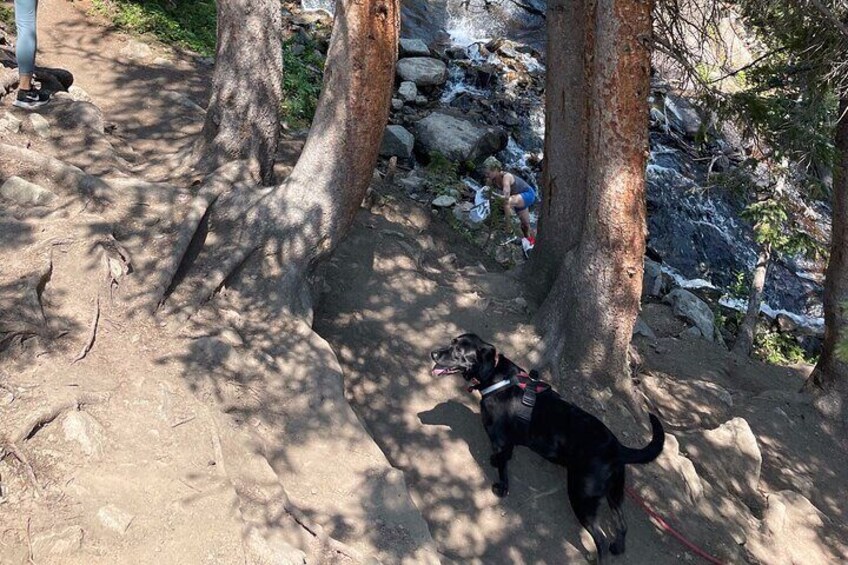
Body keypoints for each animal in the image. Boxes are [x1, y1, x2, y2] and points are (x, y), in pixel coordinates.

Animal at [430, 332, 664, 556]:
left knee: (600, 539)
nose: (433, 353)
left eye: (458, 352)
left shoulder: (499, 438)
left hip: (582, 495)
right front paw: (495, 461)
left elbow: (504, 467)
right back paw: (618, 548)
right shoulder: (509, 441)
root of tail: (617, 448)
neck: (496, 376)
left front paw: (502, 486)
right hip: (614, 494)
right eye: (451, 342)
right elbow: (505, 456)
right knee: (622, 526)